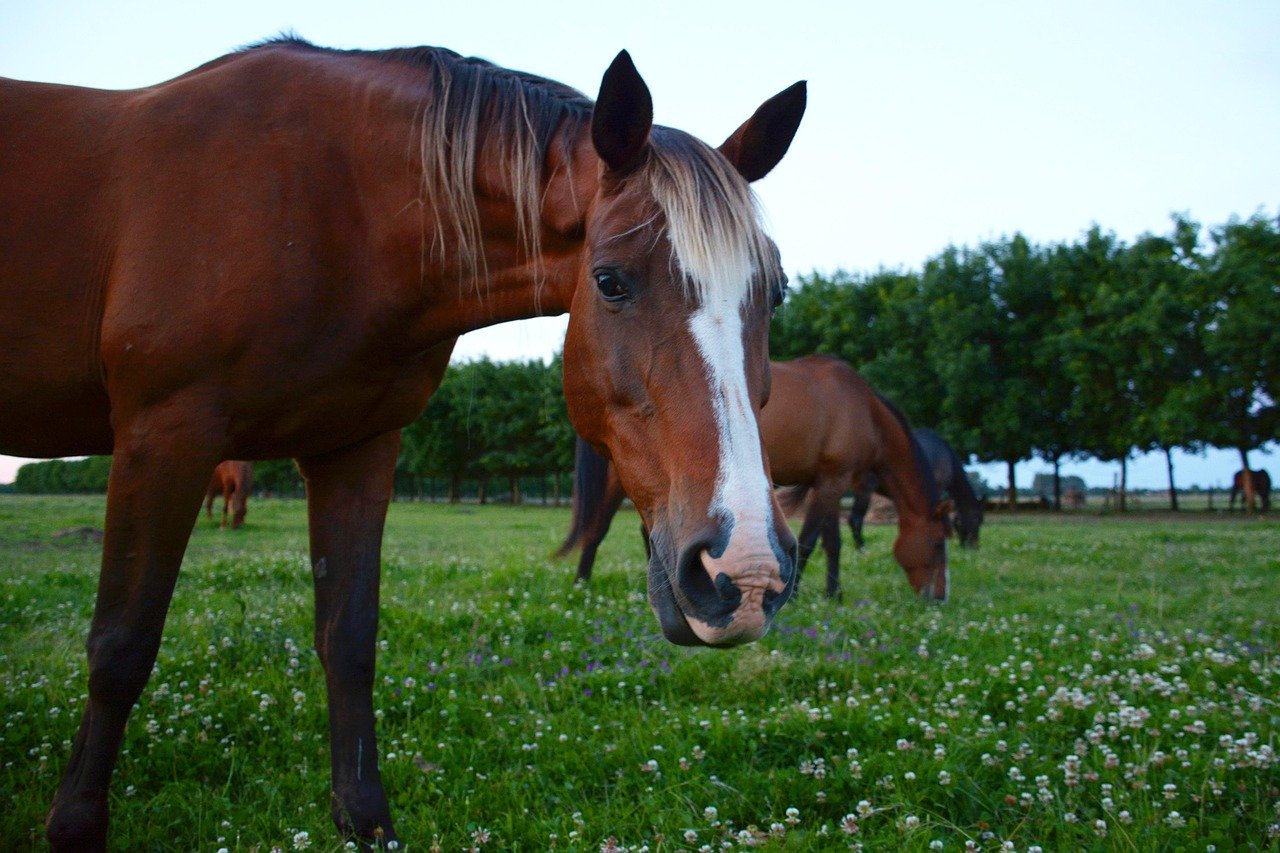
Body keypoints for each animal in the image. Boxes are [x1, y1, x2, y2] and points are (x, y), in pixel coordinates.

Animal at [0, 38, 803, 845]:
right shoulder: (163, 432)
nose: (746, 572)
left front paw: (363, 818)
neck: (330, 208)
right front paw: (74, 825)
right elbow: (121, 644)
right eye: (609, 280)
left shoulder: (358, 446)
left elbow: (349, 639)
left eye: (778, 293)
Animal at [563, 356, 952, 601]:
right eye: (937, 544)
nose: (939, 598)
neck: (864, 409)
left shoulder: (826, 482)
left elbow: (830, 541)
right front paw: (798, 595)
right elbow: (813, 541)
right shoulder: (833, 482)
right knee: (598, 528)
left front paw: (833, 593)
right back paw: (583, 585)